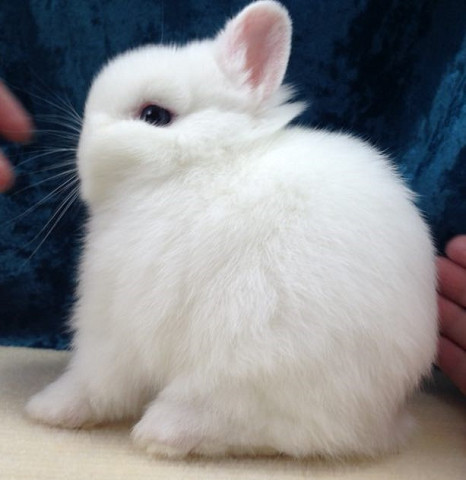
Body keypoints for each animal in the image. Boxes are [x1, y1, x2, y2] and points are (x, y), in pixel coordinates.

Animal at [26, 0, 438, 459]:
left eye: (153, 115)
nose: (83, 146)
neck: (201, 164)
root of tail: (383, 418)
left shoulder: (114, 320)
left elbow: (94, 381)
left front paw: (45, 409)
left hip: (250, 364)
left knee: (243, 421)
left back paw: (161, 433)